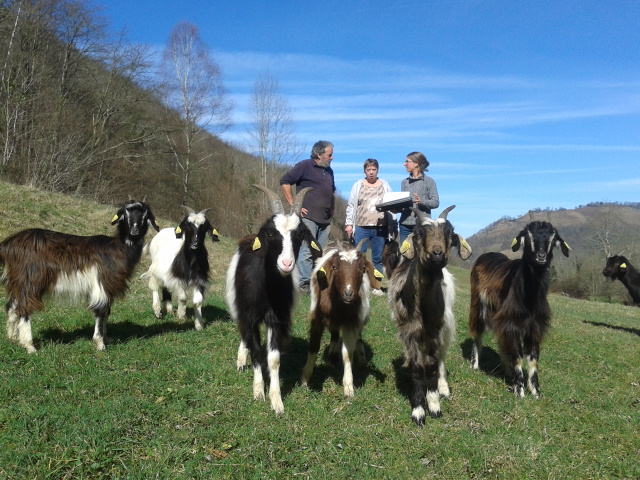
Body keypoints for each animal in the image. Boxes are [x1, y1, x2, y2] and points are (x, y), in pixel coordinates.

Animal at [0, 199, 159, 352]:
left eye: (145, 215)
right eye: (125, 213)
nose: (134, 231)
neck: (116, 249)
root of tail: (8, 245)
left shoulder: (109, 288)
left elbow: (107, 312)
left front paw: (106, 338)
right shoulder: (101, 285)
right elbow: (101, 312)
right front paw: (100, 344)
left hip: (18, 281)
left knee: (12, 307)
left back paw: (13, 338)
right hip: (31, 280)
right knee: (24, 308)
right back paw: (30, 346)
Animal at [226, 186, 324, 414]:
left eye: (300, 234)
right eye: (271, 234)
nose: (286, 264)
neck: (267, 289)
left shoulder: (277, 319)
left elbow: (273, 359)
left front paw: (276, 400)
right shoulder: (250, 315)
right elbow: (256, 352)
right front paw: (258, 391)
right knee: (244, 333)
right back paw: (241, 359)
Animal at [298, 237, 382, 398]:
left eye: (363, 269)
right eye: (335, 267)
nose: (348, 294)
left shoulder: (351, 322)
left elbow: (347, 354)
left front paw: (348, 387)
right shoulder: (317, 318)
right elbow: (313, 347)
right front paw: (304, 380)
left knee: (356, 336)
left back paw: (360, 358)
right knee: (335, 334)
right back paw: (332, 358)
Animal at [384, 204, 470, 426]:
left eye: (450, 234)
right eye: (418, 234)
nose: (437, 254)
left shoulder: (434, 331)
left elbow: (431, 365)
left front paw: (434, 404)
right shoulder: (410, 333)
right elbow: (416, 367)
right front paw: (418, 410)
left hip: (446, 327)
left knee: (441, 357)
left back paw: (443, 387)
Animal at [470, 221, 568, 398]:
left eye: (552, 238)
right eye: (528, 237)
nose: (541, 256)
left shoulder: (534, 326)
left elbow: (533, 359)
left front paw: (535, 391)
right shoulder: (511, 323)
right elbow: (518, 356)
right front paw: (519, 391)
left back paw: (507, 370)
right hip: (478, 304)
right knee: (477, 331)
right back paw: (474, 364)